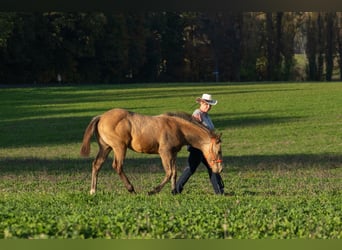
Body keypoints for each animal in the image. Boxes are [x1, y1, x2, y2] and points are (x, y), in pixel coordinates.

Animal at [81, 107, 224, 195]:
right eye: (219, 151)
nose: (220, 169)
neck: (178, 128)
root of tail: (101, 117)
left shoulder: (173, 153)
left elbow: (174, 173)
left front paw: (174, 191)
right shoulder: (164, 152)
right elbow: (169, 172)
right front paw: (153, 191)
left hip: (106, 147)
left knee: (97, 165)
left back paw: (93, 191)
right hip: (119, 147)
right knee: (117, 166)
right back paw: (131, 189)